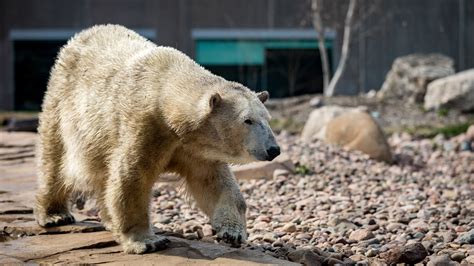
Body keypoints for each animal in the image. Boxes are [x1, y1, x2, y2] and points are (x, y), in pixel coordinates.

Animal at [35, 24, 280, 254]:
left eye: (267, 119)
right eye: (247, 120)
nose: (274, 149)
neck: (165, 90)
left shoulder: (195, 146)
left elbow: (214, 181)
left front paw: (232, 232)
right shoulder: (146, 126)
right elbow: (131, 179)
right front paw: (147, 241)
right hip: (63, 103)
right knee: (55, 160)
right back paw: (55, 215)